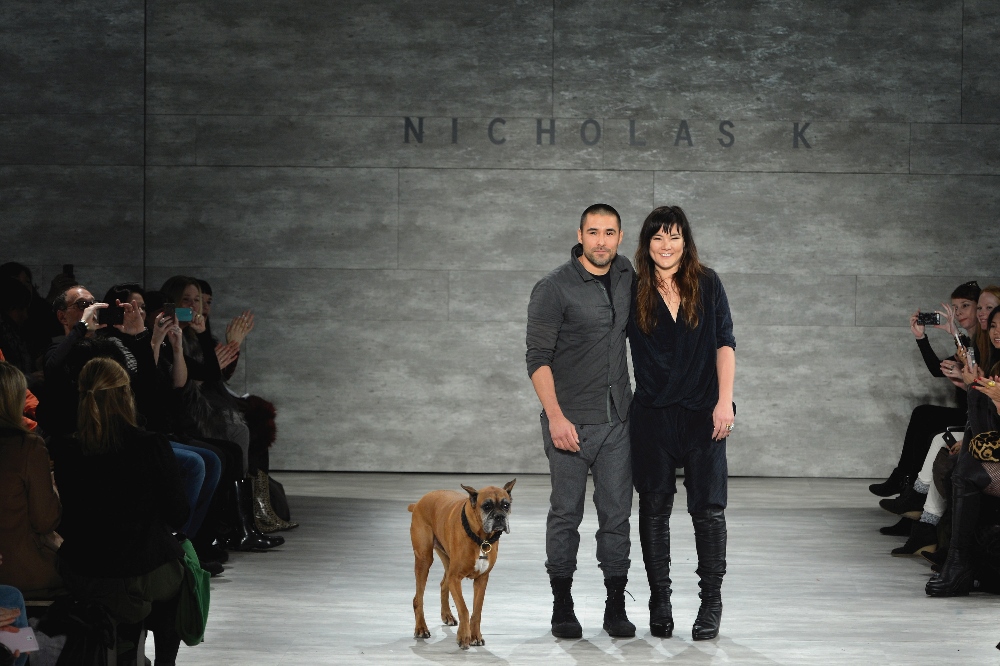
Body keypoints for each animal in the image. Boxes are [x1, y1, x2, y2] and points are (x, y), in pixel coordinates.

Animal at [408, 478, 516, 648]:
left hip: (447, 560)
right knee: (418, 598)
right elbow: (464, 609)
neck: (480, 537)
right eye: (487, 506)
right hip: (424, 560)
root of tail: (419, 502)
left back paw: (447, 615)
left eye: (506, 505)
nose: (500, 517)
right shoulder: (455, 578)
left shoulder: (481, 580)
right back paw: (421, 628)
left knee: (443, 584)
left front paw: (475, 636)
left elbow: (477, 611)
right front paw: (464, 636)